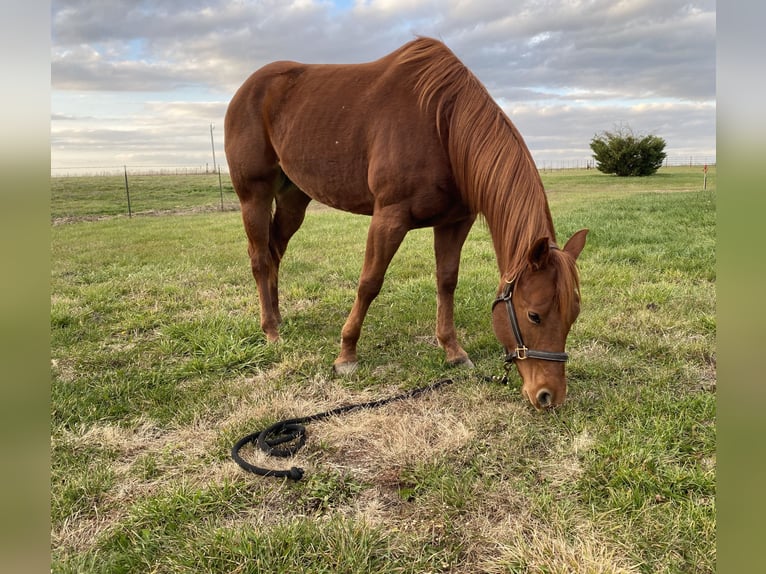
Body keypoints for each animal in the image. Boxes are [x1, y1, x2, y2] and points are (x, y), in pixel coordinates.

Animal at [225, 37, 592, 410]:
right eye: (534, 315)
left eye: (573, 314)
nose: (549, 396)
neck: (441, 125)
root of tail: (248, 88)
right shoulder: (389, 218)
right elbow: (369, 283)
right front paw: (346, 355)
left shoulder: (455, 222)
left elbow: (447, 281)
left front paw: (453, 350)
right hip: (254, 196)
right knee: (260, 258)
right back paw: (270, 330)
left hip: (293, 199)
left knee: (275, 253)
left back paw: (277, 318)